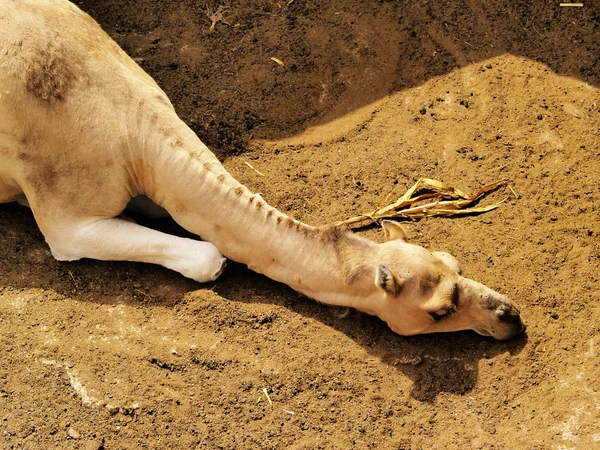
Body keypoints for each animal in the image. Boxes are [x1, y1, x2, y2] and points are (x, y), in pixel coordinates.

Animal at [0, 0, 524, 338]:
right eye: (440, 311)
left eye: (455, 263)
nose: (511, 317)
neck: (138, 133)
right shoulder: (67, 223)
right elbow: (210, 257)